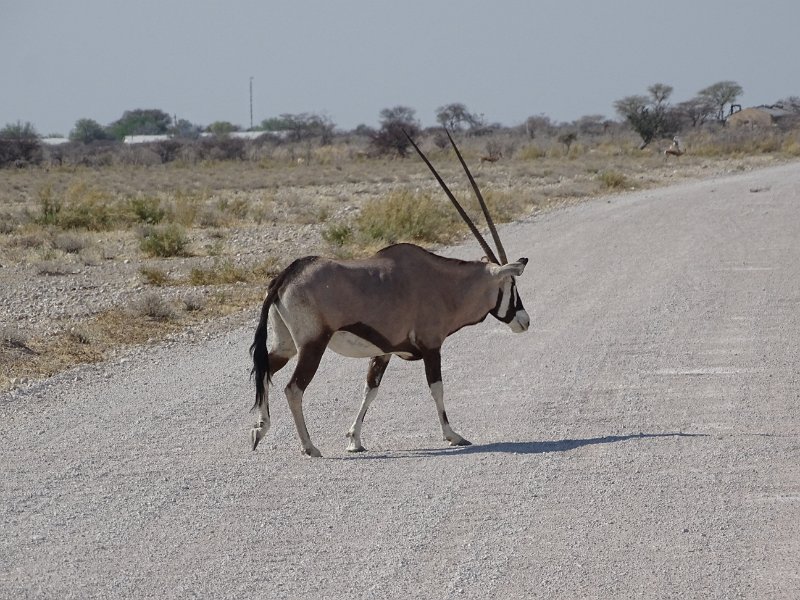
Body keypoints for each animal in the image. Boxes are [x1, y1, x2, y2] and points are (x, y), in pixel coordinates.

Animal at [247, 131, 528, 458]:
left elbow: (371, 389)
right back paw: (309, 446)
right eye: (511, 285)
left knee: (265, 368)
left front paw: (354, 439)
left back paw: (259, 430)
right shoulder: (432, 346)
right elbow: (437, 388)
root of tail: (286, 275)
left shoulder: (384, 351)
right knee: (293, 388)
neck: (443, 283)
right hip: (312, 345)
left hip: (287, 344)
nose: (525, 321)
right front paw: (453, 435)